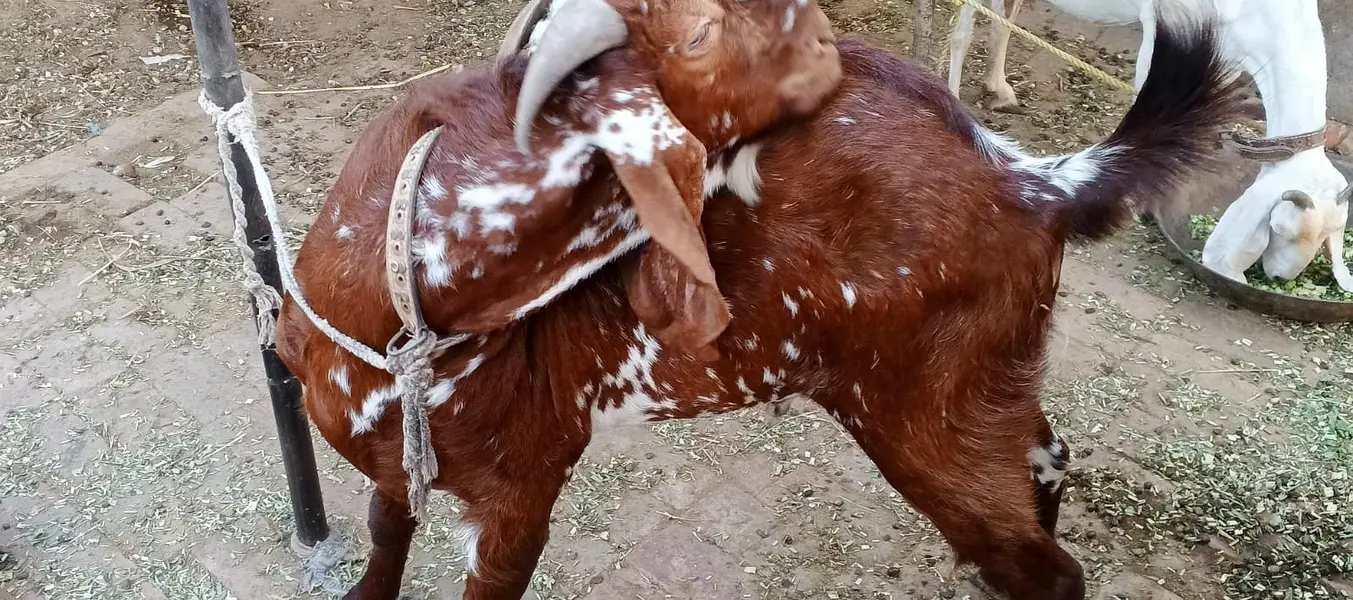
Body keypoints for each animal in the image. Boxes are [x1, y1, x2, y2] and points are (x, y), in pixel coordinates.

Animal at [946, 0, 1352, 292]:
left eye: (1327, 236)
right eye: (1281, 229)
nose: (1281, 278)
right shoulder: (1168, 23)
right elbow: (1148, 88)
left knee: (1002, 16)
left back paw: (999, 88)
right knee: (964, 29)